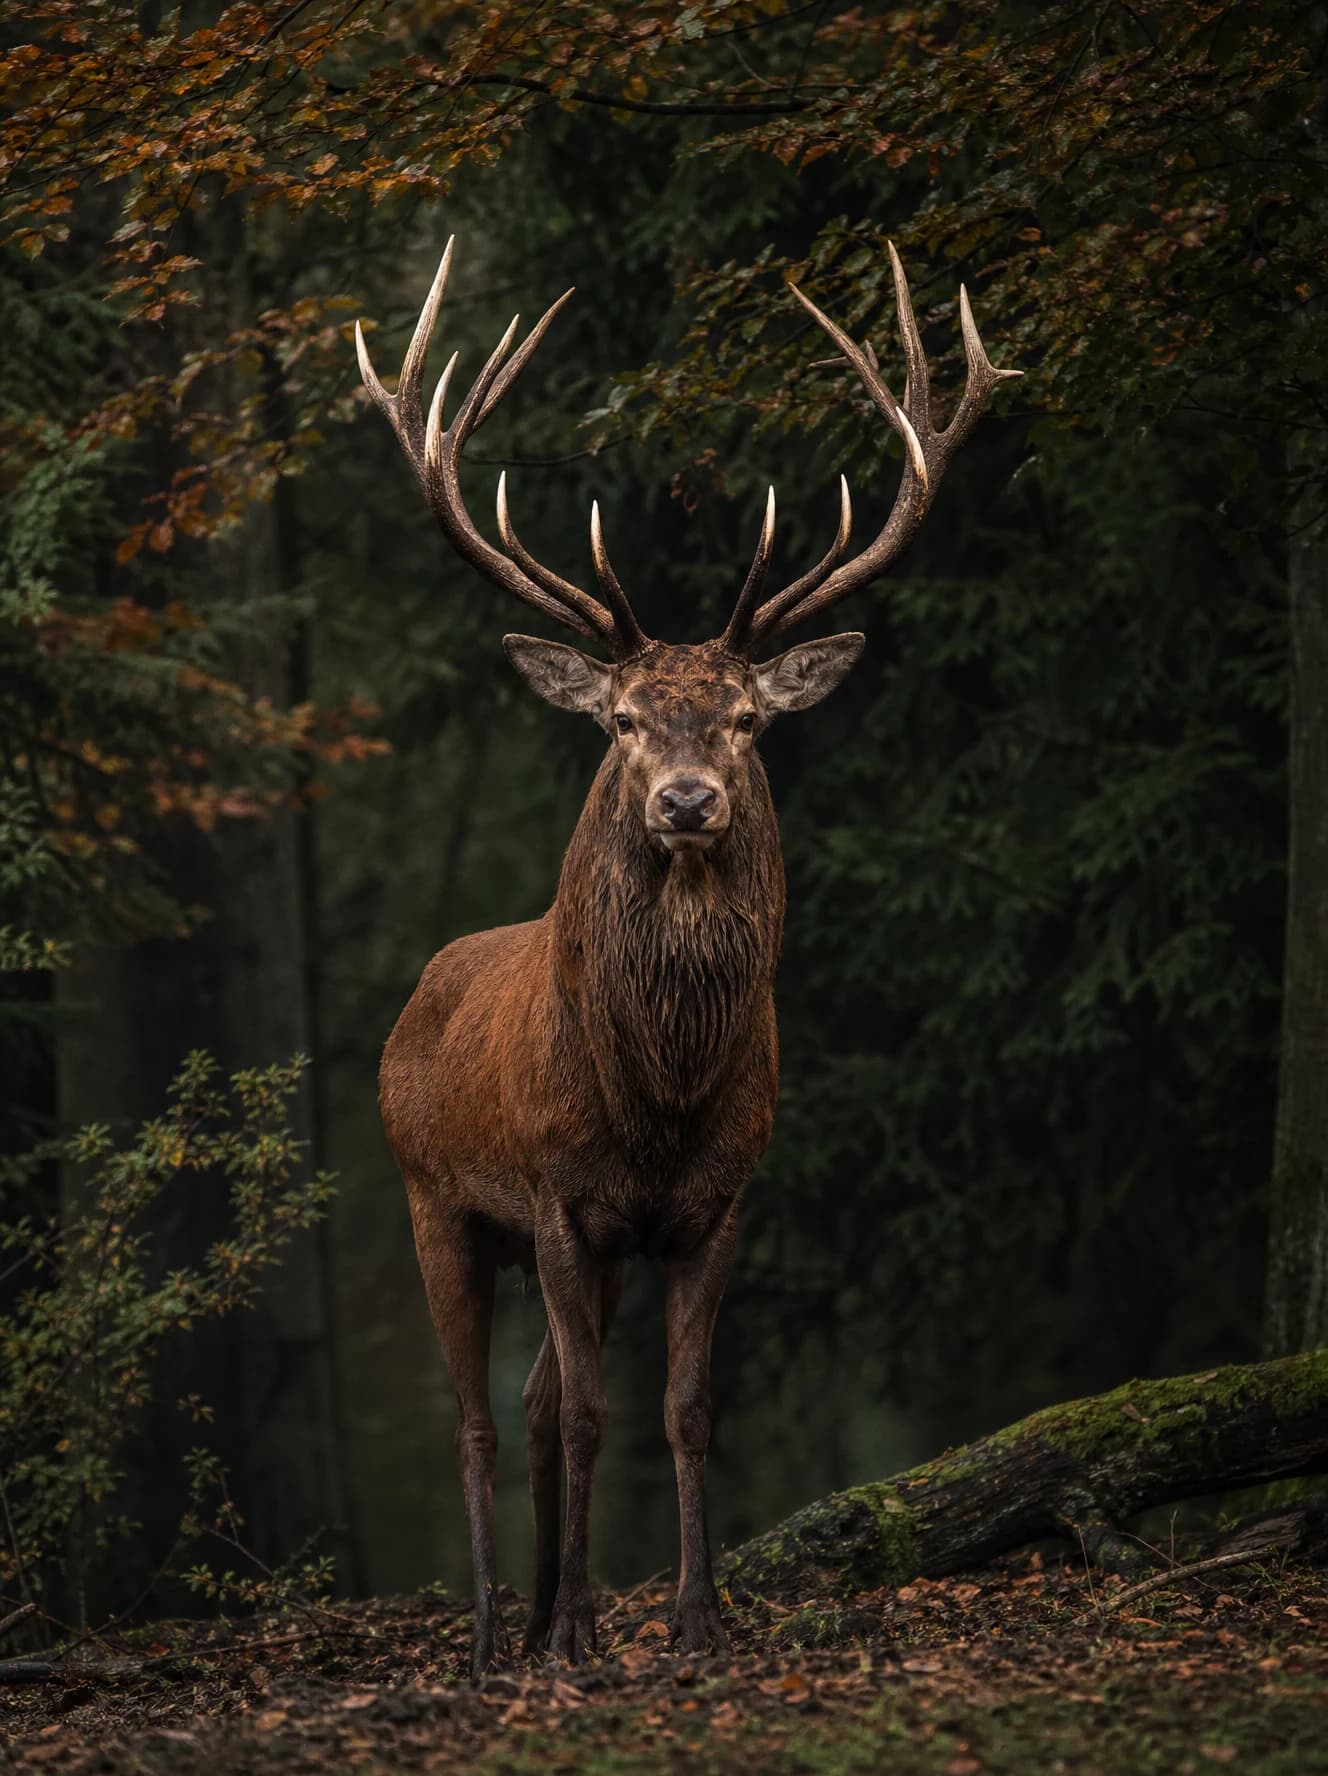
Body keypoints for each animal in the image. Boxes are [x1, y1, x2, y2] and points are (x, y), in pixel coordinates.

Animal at [355, 236, 1018, 1677]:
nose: (685, 799)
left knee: (535, 1396)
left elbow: (681, 1408)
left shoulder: (716, 1202)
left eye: (746, 719)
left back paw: (534, 1613)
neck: (657, 1093)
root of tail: (417, 995)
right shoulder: (556, 1196)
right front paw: (583, 1636)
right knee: (483, 1416)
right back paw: (494, 1631)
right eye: (617, 719)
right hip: (436, 1200)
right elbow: (594, 1414)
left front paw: (692, 1619)